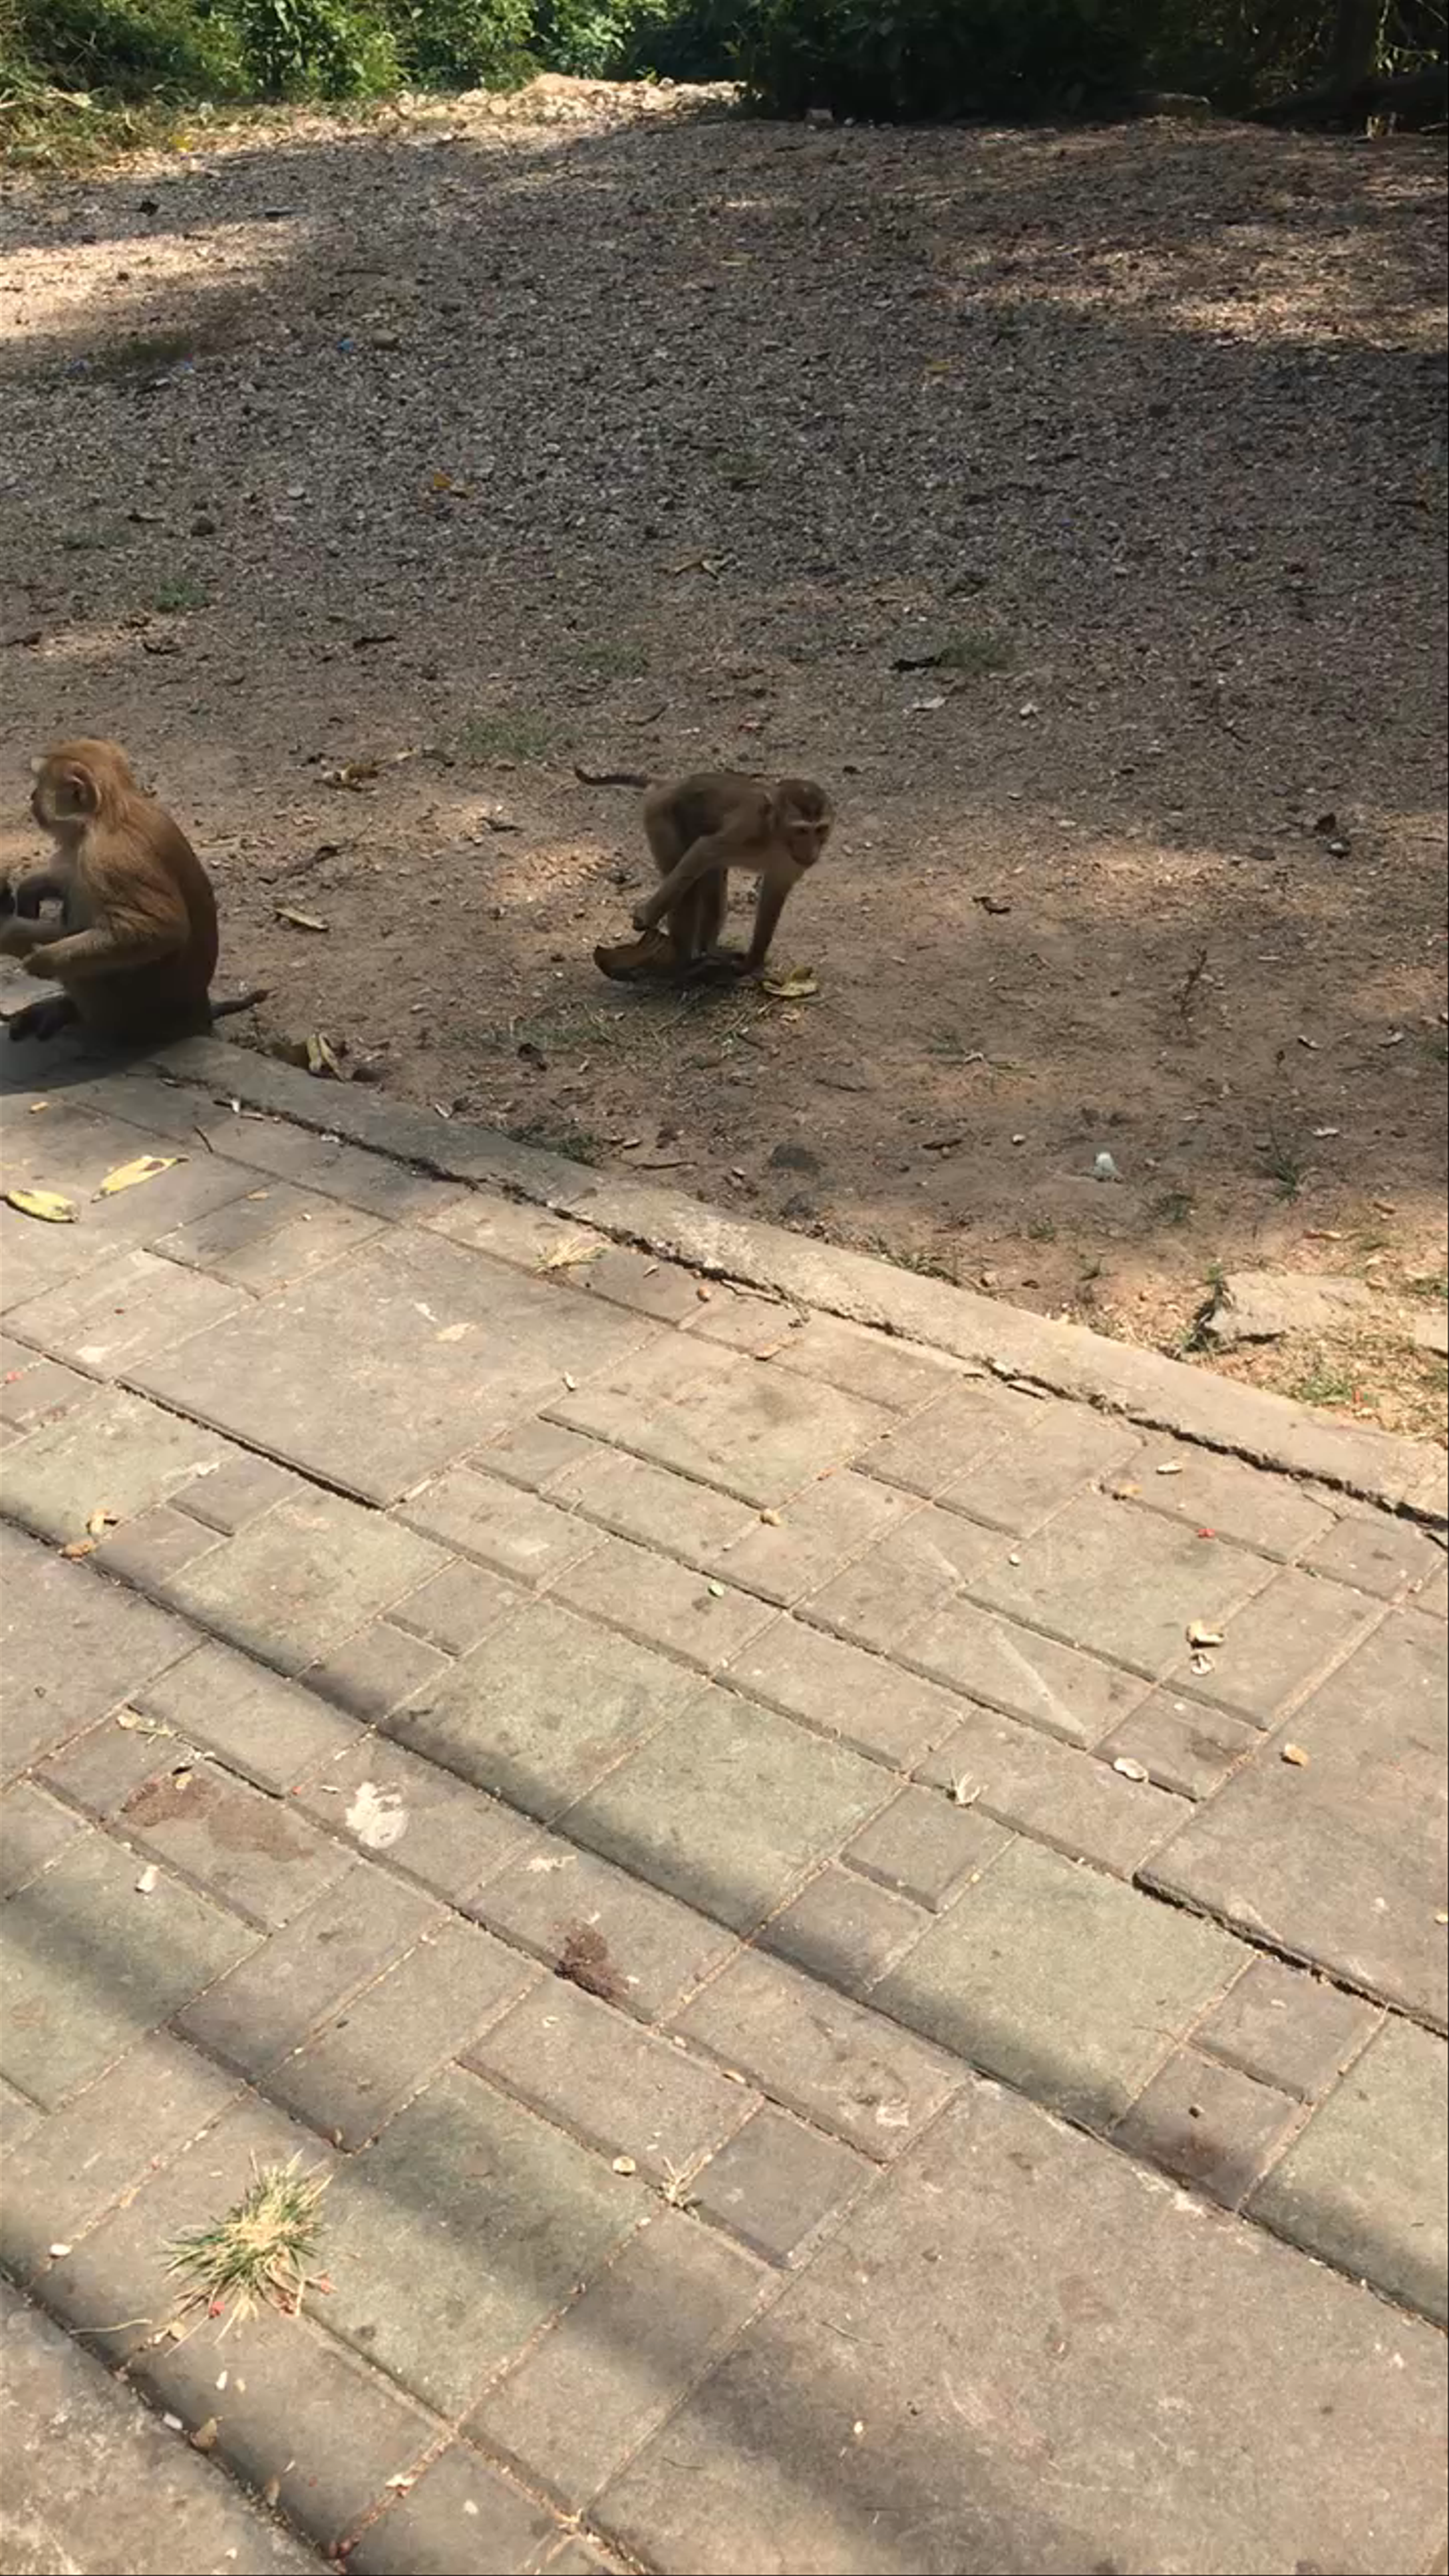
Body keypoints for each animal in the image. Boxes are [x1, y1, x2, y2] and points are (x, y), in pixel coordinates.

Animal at [0, 741, 265, 1046]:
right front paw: (33, 887)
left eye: (41, 785)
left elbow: (163, 931)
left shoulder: (106, 859)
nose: (32, 797)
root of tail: (199, 1011)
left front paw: (39, 957)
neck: (107, 814)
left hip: (122, 1011)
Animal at [594, 771, 832, 987]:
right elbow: (705, 850)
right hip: (660, 817)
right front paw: (647, 915)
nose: (812, 851)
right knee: (688, 889)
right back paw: (678, 961)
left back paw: (707, 952)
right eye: (802, 831)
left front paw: (753, 963)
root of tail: (669, 784)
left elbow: (774, 894)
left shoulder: (790, 864)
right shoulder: (748, 829)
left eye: (821, 830)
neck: (778, 838)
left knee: (711, 883)